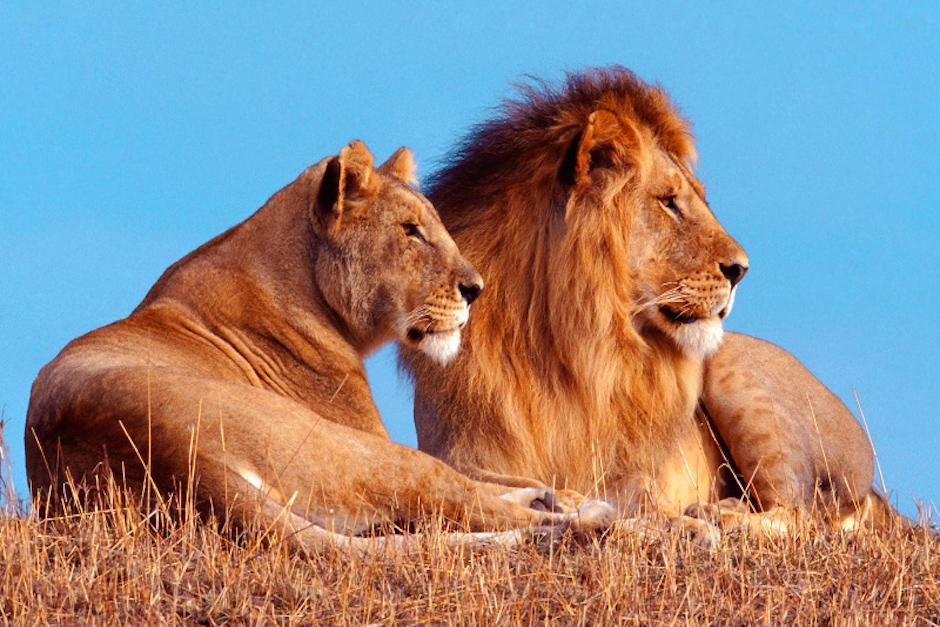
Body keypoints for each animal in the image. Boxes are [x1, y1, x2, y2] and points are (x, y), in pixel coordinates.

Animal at [25, 140, 614, 554]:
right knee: (467, 503)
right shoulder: (367, 433)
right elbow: (475, 479)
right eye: (410, 231)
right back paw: (587, 518)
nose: (477, 289)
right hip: (354, 451)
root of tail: (176, 457)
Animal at [400, 67, 888, 534]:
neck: (562, 346)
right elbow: (482, 482)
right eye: (669, 201)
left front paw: (670, 523)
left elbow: (639, 494)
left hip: (736, 371)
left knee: (801, 514)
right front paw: (558, 502)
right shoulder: (455, 450)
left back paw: (719, 516)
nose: (741, 269)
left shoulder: (627, 467)